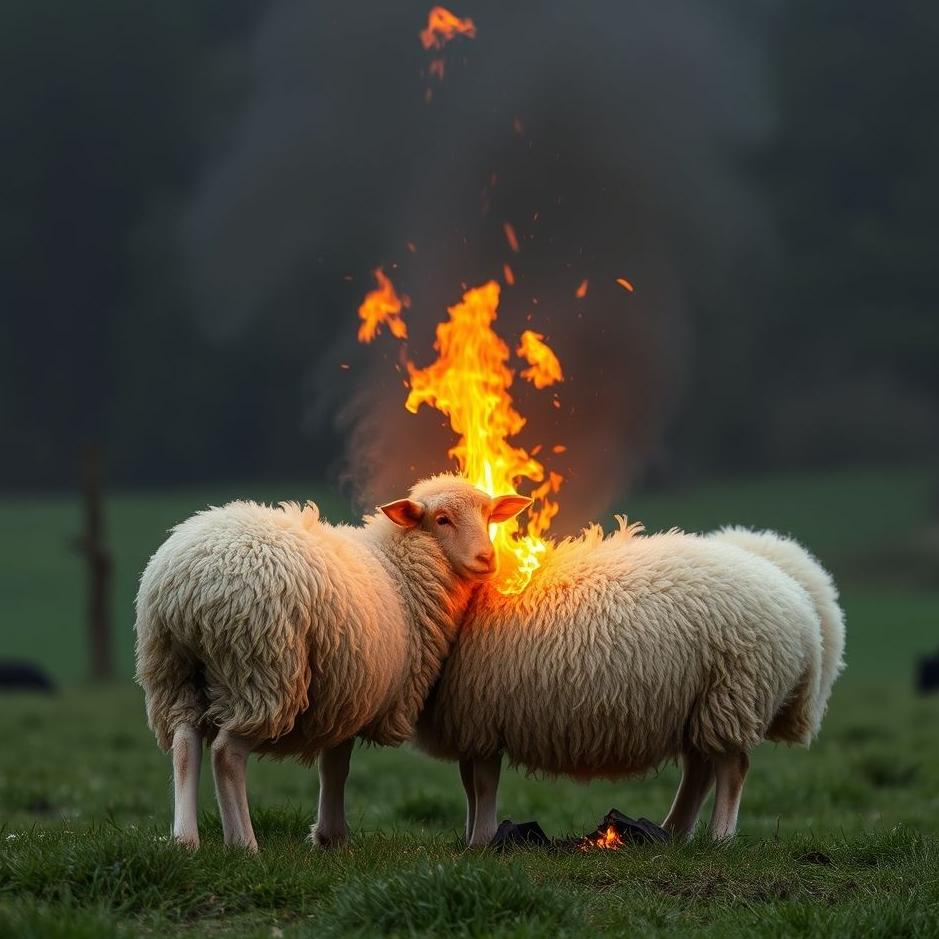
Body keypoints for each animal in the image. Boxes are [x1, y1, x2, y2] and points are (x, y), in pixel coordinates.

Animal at [135, 474, 530, 852]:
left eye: (488, 517)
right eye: (442, 519)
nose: (486, 559)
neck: (398, 567)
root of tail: (190, 587)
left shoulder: (343, 694)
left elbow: (333, 766)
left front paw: (330, 837)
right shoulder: (354, 692)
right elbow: (338, 766)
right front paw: (333, 835)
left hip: (172, 671)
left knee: (185, 744)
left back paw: (185, 840)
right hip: (262, 671)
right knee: (226, 754)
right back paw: (243, 844)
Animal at [415, 521, 845, 845]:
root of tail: (800, 596)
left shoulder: (480, 717)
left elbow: (483, 785)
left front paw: (481, 841)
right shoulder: (469, 724)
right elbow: (470, 785)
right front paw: (473, 837)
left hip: (734, 694)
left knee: (732, 767)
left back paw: (720, 837)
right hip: (702, 705)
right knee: (700, 769)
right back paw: (674, 831)